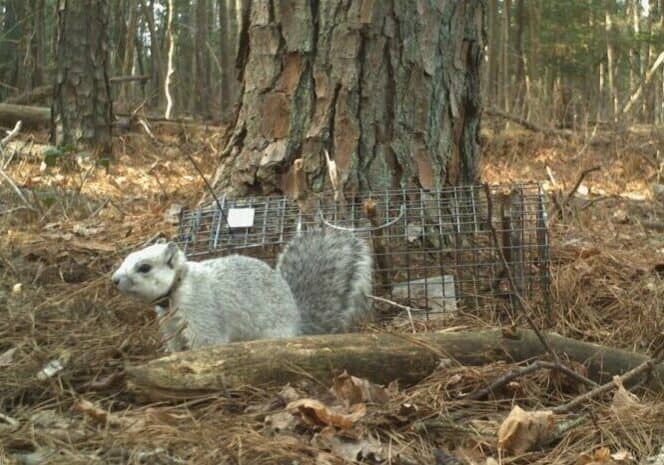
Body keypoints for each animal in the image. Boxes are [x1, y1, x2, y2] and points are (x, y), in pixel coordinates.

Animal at [111, 230, 373, 352]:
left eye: (144, 267)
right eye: (127, 258)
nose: (114, 280)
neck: (178, 288)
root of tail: (298, 323)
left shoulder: (203, 312)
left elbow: (207, 343)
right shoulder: (168, 323)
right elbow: (173, 343)